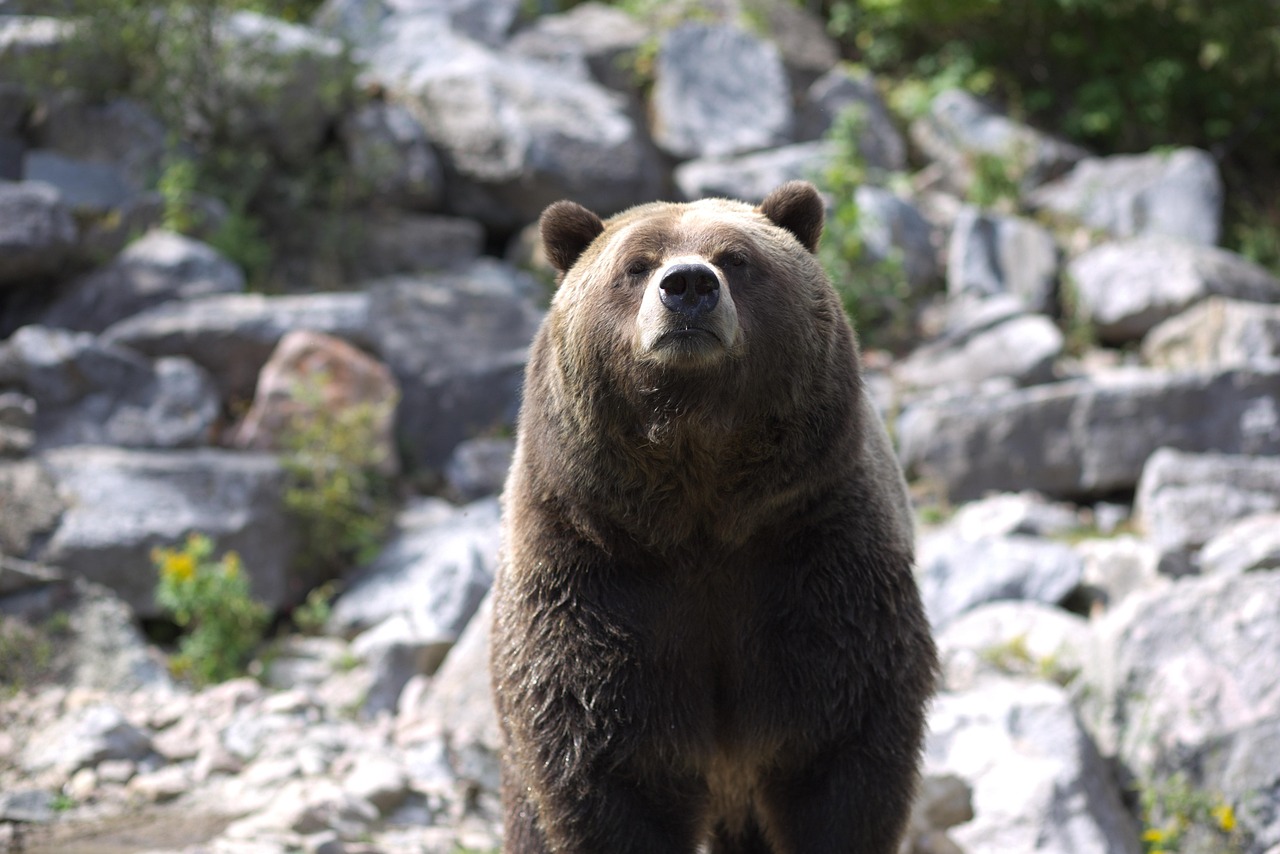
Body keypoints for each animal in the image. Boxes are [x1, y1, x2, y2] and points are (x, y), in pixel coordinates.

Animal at [494, 181, 936, 854]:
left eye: (736, 258)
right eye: (636, 265)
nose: (688, 286)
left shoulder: (816, 559)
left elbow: (844, 750)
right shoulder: (595, 581)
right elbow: (606, 768)